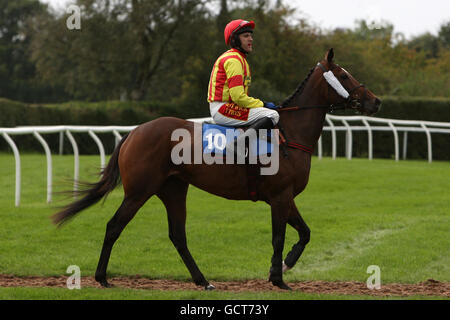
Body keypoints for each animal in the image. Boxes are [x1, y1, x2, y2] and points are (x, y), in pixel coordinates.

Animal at [53, 48, 384, 292]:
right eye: (343, 75)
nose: (376, 101)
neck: (289, 135)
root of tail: (134, 132)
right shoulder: (279, 196)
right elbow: (279, 237)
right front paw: (278, 278)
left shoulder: (286, 197)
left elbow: (305, 232)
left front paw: (285, 265)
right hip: (139, 191)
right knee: (115, 226)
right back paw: (102, 278)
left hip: (173, 189)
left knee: (177, 235)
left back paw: (203, 281)